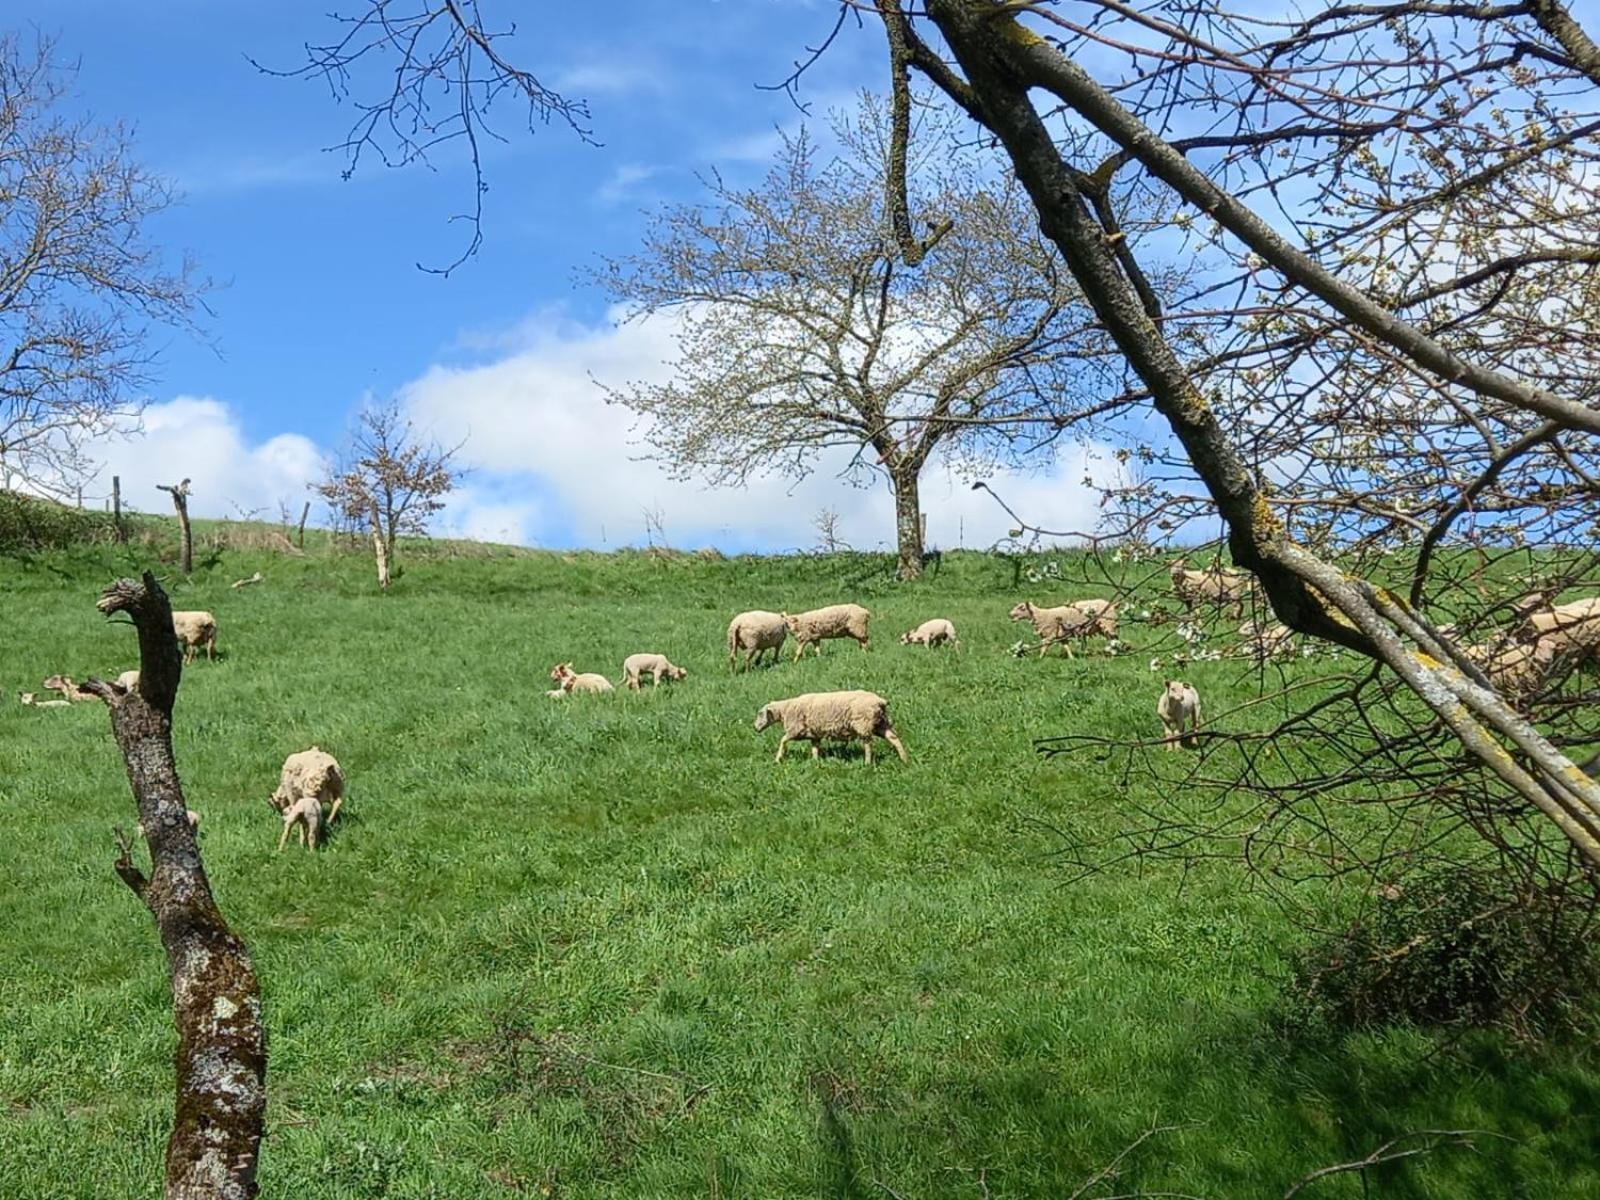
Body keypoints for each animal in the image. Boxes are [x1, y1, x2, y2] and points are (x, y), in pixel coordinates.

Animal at [752, 691, 908, 764]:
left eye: (760, 714)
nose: (755, 728)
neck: (785, 710)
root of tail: (880, 701)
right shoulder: (814, 734)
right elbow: (815, 748)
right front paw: (815, 762)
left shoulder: (795, 729)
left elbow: (783, 740)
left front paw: (778, 758)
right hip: (881, 723)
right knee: (894, 738)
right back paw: (904, 759)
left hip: (863, 723)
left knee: (868, 744)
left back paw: (867, 762)